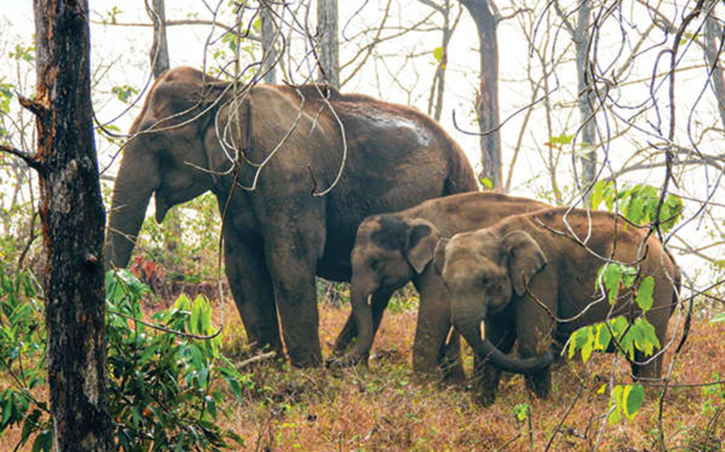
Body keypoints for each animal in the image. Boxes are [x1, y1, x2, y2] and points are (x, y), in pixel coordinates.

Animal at [103, 68, 476, 370]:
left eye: (153, 137)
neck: (226, 88)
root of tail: (457, 148)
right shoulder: (234, 187)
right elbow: (242, 265)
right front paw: (268, 365)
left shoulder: (288, 172)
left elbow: (290, 258)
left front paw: (306, 374)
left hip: (448, 191)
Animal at [330, 191, 544, 382]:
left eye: (374, 262)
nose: (330, 363)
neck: (408, 216)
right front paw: (449, 385)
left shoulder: (439, 259)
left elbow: (437, 307)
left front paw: (421, 386)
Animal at [436, 208, 680, 402]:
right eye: (445, 283)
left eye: (486, 280)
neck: (499, 232)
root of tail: (668, 255)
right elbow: (495, 344)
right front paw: (480, 407)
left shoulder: (542, 278)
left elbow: (532, 344)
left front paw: (541, 408)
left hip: (654, 289)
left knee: (648, 352)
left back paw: (648, 401)